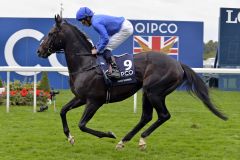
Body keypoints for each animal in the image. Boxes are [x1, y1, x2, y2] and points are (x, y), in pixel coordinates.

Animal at [36, 15, 226, 150]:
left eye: (51, 34)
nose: (39, 51)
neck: (85, 64)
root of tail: (177, 64)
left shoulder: (94, 101)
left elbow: (82, 125)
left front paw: (109, 134)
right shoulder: (81, 98)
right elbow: (62, 111)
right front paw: (70, 137)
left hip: (154, 91)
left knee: (163, 115)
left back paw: (137, 139)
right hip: (147, 92)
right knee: (146, 116)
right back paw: (125, 140)